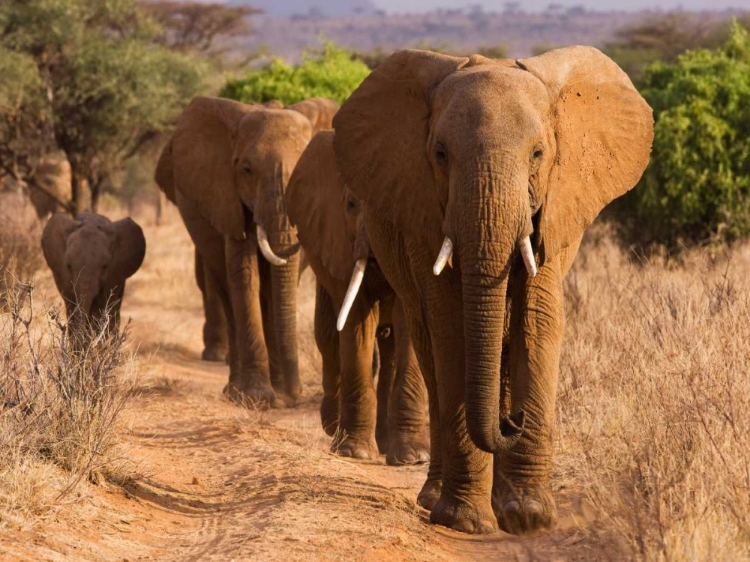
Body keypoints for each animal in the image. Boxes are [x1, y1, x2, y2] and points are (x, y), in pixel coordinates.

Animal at [157, 95, 340, 402]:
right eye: (246, 170)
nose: (296, 394)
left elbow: (278, 282)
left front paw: (280, 396)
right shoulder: (228, 198)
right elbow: (245, 276)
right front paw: (258, 397)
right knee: (226, 291)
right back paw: (234, 390)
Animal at [286, 131, 432, 464]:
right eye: (351, 205)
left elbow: (408, 323)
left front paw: (414, 458)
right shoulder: (339, 240)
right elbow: (356, 323)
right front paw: (355, 452)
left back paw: (386, 444)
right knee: (328, 337)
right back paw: (333, 427)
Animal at [332, 46, 656, 532]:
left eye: (539, 153)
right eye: (440, 154)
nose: (514, 420)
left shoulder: (554, 209)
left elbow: (538, 322)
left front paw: (527, 518)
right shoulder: (425, 213)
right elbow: (452, 329)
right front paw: (466, 522)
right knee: (430, 352)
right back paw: (435, 498)